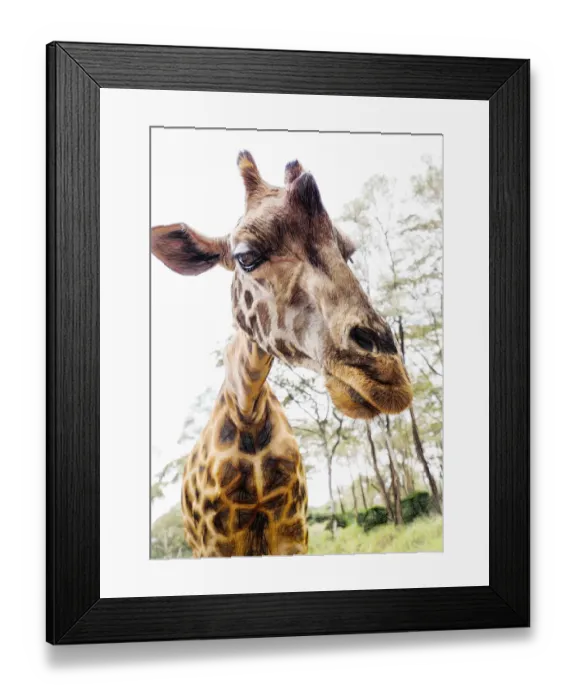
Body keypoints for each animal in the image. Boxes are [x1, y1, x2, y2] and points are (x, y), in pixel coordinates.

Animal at [151, 151, 413, 557]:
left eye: (349, 254)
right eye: (245, 256)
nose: (387, 374)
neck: (248, 412)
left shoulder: (293, 531)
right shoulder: (215, 544)